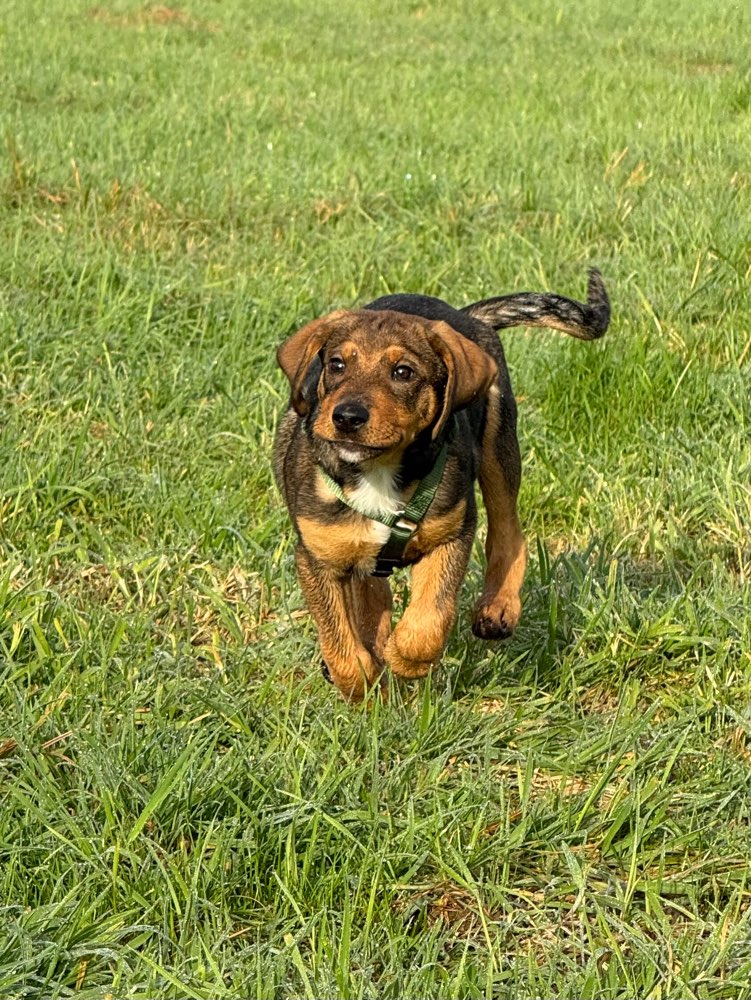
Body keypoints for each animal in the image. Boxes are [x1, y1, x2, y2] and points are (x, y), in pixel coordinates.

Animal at [274, 270, 608, 700]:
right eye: (336, 365)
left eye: (403, 372)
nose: (346, 417)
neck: (378, 471)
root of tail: (465, 316)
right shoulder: (317, 557)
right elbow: (339, 638)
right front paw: (362, 681)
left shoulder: (450, 533)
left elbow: (429, 618)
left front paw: (405, 658)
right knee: (371, 593)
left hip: (498, 442)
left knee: (508, 530)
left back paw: (497, 607)